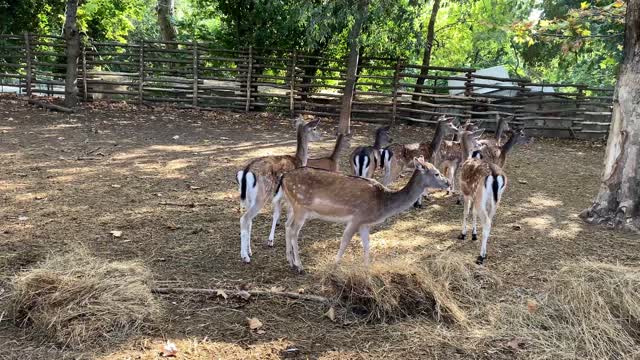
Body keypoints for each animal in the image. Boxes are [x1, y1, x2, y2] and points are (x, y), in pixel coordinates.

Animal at [236, 116, 322, 262]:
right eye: (314, 128)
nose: (322, 135)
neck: (299, 160)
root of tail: (246, 172)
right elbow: (282, 214)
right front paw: (273, 240)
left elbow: (276, 213)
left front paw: (271, 240)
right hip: (261, 196)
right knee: (244, 219)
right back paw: (245, 256)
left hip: (248, 198)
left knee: (249, 221)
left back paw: (250, 251)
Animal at [276, 155, 450, 272]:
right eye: (436, 173)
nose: (448, 182)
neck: (382, 204)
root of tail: (283, 177)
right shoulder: (357, 218)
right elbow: (344, 241)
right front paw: (335, 264)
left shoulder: (364, 224)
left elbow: (367, 244)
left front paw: (367, 268)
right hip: (301, 207)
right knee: (294, 231)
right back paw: (299, 265)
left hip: (292, 206)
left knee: (286, 225)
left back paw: (289, 261)